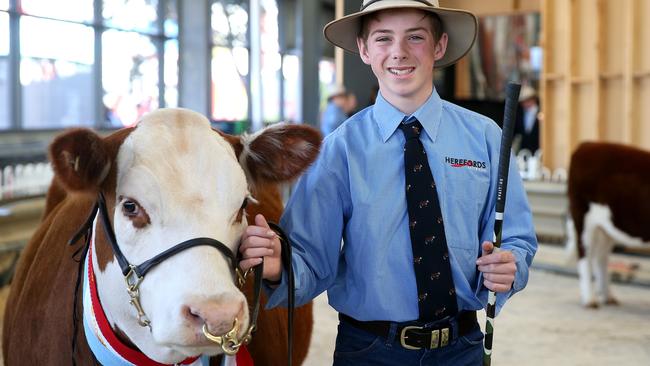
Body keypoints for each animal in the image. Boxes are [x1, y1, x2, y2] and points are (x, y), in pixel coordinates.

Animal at [564, 142, 648, 308]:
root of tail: (585, 145)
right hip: (583, 218)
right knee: (585, 255)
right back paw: (590, 300)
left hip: (605, 228)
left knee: (601, 257)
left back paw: (608, 297)